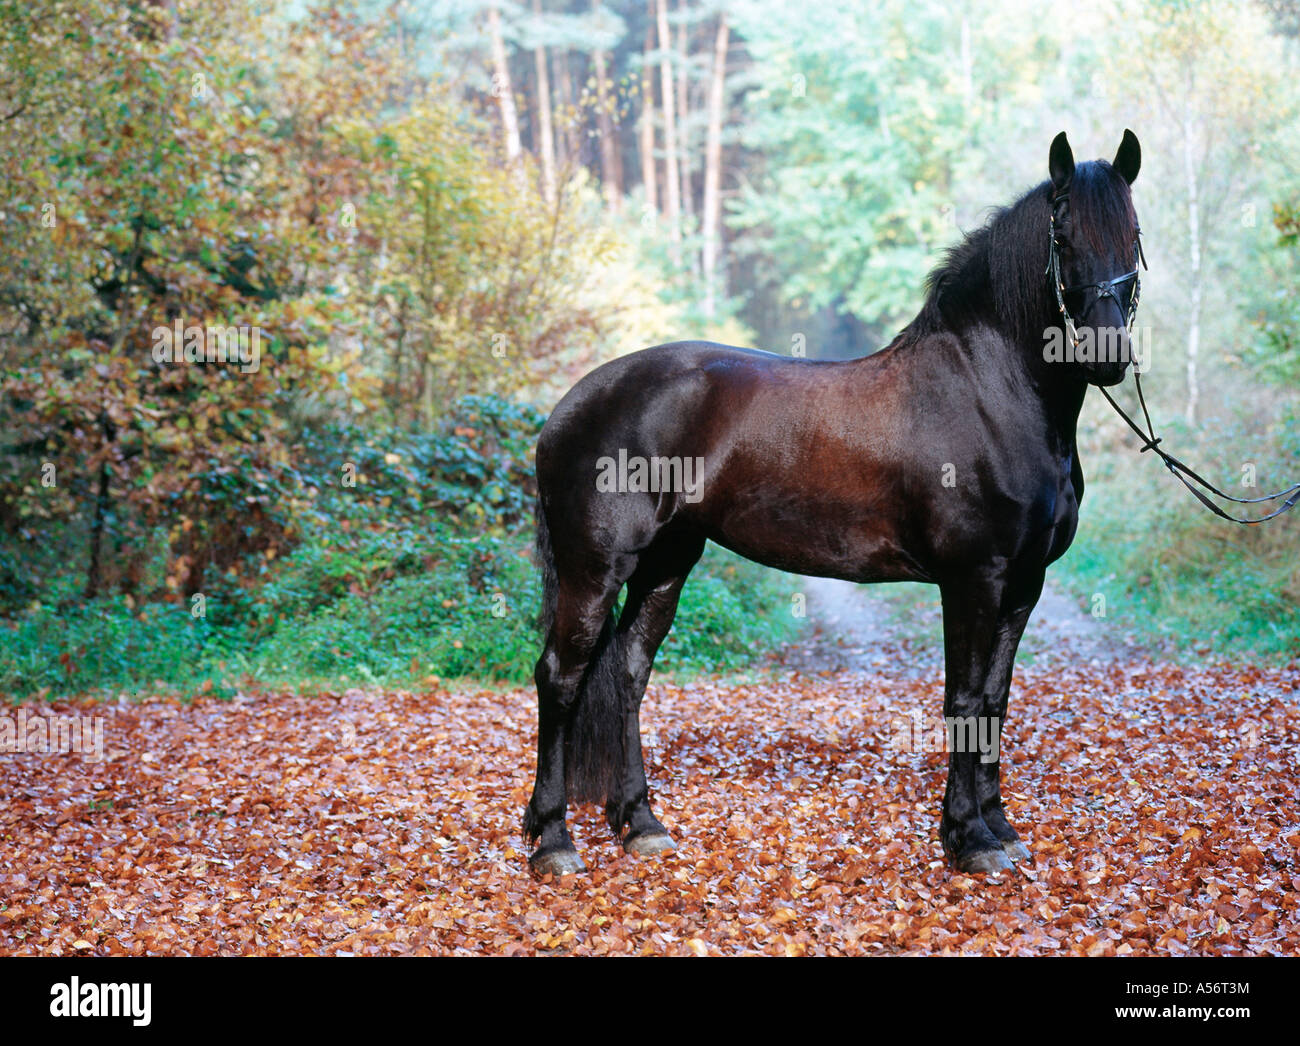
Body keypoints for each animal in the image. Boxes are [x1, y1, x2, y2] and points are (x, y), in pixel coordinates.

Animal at [523, 130, 1144, 876]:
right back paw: (553, 840)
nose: (1107, 354)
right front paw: (968, 838)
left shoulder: (1024, 584)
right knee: (560, 677)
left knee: (626, 674)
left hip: (665, 565)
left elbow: (994, 700)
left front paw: (998, 826)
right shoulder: (974, 578)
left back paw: (640, 823)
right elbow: (963, 698)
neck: (988, 392)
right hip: (594, 570)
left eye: (1134, 234)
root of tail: (565, 409)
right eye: (1062, 234)